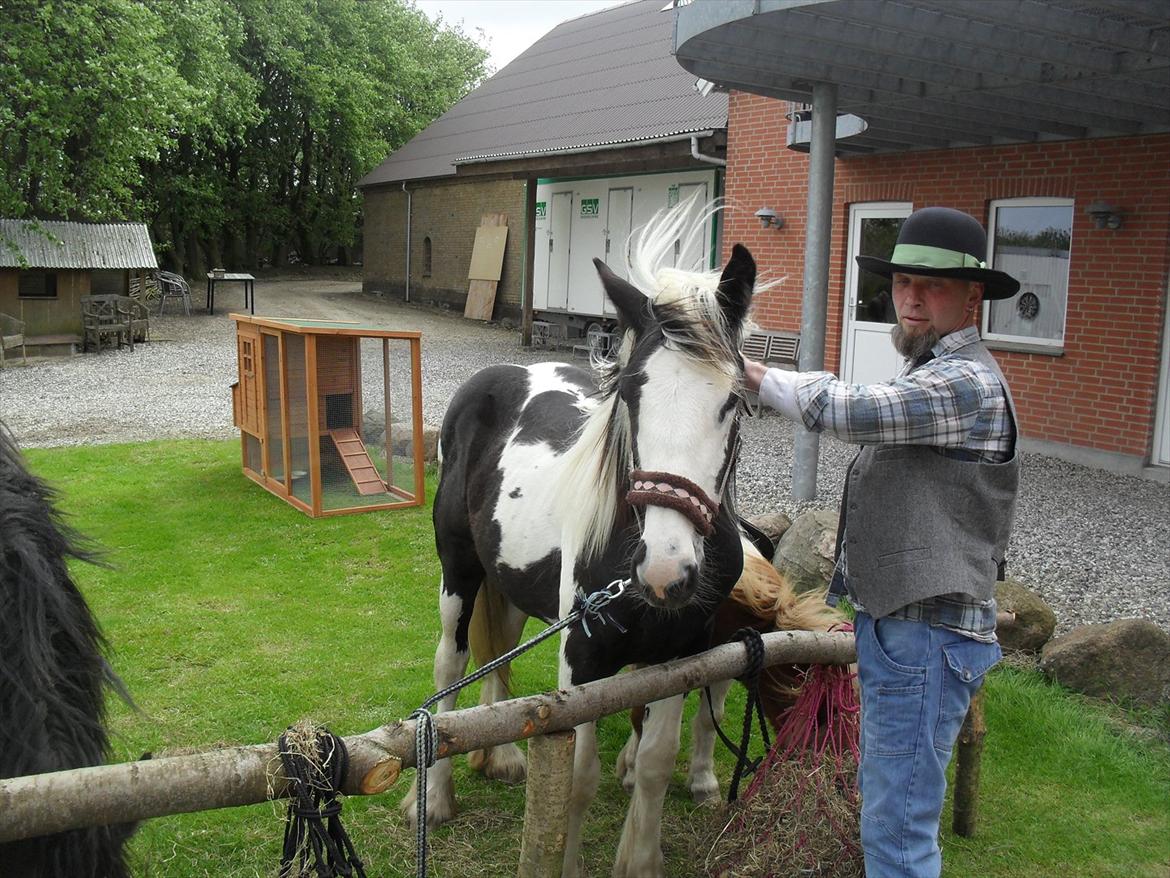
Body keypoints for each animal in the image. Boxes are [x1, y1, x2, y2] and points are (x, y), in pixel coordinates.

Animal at [407, 204, 758, 875]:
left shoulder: (679, 656)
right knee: (450, 663)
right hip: (459, 572)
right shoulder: (582, 660)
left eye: (733, 400)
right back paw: (432, 798)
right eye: (629, 391)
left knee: (498, 651)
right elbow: (577, 777)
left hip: (515, 585)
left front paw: (639, 860)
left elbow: (654, 764)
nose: (665, 572)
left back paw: (502, 758)